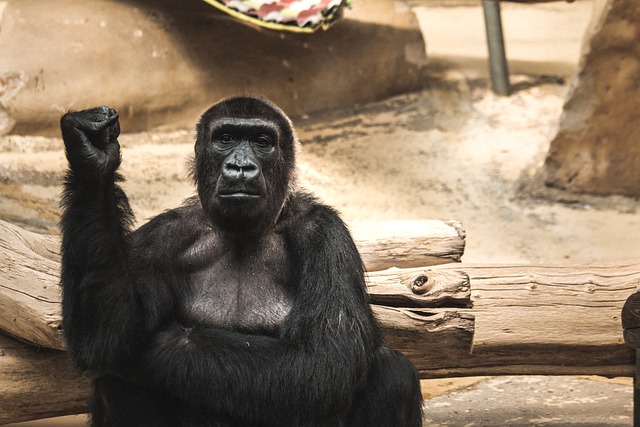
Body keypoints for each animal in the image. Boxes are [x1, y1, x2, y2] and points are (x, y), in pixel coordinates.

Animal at [57, 95, 422, 426]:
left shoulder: (325, 234)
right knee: (115, 380)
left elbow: (325, 359)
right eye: (226, 138)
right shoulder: (160, 238)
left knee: (392, 373)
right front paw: (92, 156)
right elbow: (106, 333)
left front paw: (164, 344)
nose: (241, 167)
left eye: (262, 141)